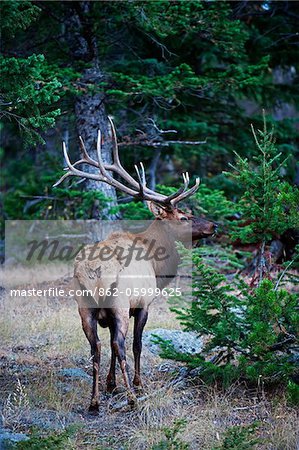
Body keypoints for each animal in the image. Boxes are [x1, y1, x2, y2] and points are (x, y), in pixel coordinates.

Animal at [54, 118, 218, 414]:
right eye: (184, 216)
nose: (214, 225)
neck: (157, 263)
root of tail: (94, 271)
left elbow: (108, 346)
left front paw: (111, 385)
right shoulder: (143, 304)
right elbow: (137, 345)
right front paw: (138, 385)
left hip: (84, 306)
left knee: (96, 346)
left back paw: (94, 401)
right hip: (119, 302)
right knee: (119, 344)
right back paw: (131, 397)